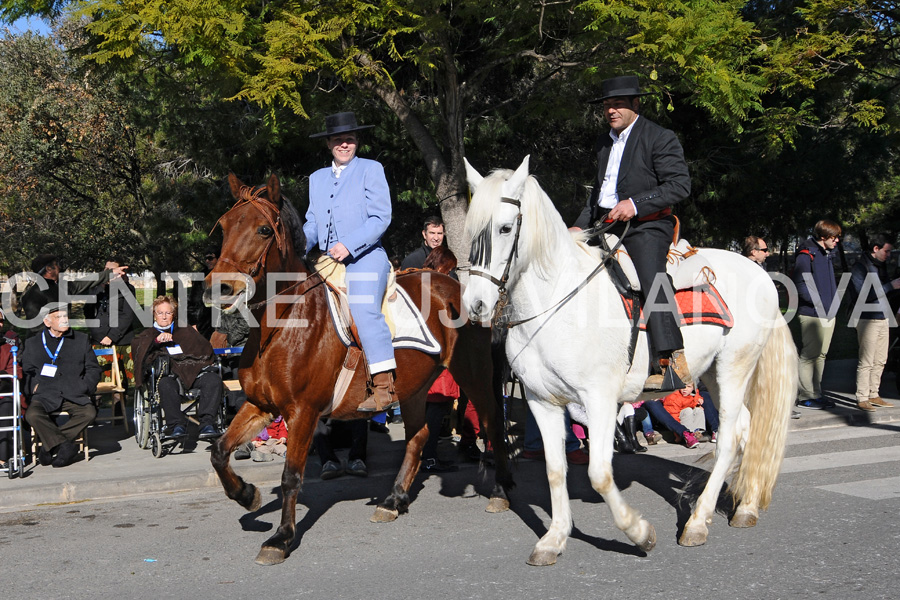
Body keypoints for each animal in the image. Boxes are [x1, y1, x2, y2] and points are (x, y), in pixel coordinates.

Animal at [206, 172, 512, 564]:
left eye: (262, 229)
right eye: (225, 226)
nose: (219, 287)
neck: (284, 325)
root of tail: (457, 287)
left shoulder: (303, 411)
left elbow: (291, 476)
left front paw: (282, 538)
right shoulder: (262, 405)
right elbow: (219, 451)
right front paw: (247, 495)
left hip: (473, 376)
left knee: (492, 423)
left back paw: (500, 493)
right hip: (414, 387)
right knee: (418, 436)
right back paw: (393, 500)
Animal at [464, 156, 796, 568]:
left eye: (506, 228)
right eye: (470, 231)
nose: (475, 304)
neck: (557, 302)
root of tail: (761, 274)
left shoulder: (599, 399)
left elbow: (600, 474)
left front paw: (640, 533)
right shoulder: (543, 401)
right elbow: (555, 471)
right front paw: (553, 540)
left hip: (735, 368)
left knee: (728, 440)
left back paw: (697, 522)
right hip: (713, 376)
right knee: (743, 429)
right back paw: (745, 507)